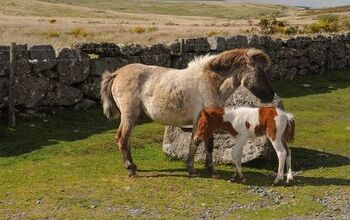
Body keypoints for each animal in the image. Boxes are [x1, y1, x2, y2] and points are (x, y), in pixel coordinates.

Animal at [100, 48, 274, 177]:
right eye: (260, 73)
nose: (271, 96)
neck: (210, 82)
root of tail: (117, 73)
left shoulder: (202, 121)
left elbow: (197, 143)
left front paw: (196, 168)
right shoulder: (204, 120)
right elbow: (204, 143)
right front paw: (205, 170)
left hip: (133, 117)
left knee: (127, 139)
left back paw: (133, 166)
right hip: (129, 115)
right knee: (122, 138)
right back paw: (130, 169)